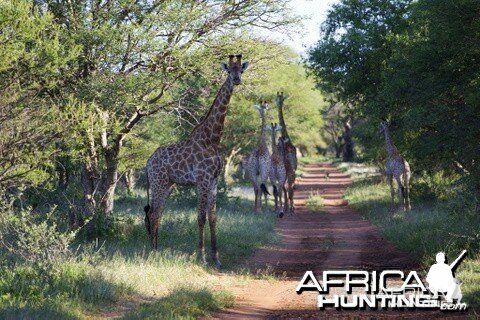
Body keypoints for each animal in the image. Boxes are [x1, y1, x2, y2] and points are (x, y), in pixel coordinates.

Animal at [143, 55, 249, 268]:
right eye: (229, 70)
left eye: (240, 69)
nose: (236, 80)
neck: (213, 139)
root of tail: (148, 162)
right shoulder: (202, 180)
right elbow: (200, 217)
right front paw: (201, 256)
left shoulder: (214, 181)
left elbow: (213, 218)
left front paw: (216, 258)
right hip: (158, 182)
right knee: (153, 214)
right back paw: (153, 253)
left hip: (168, 184)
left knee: (157, 213)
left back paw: (156, 250)